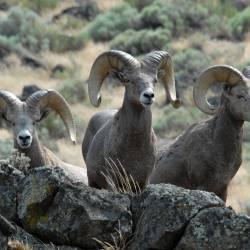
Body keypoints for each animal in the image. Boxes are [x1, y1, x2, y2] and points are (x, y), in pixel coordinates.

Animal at [82, 49, 180, 189]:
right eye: (127, 80)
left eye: (155, 80)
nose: (149, 95)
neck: (134, 148)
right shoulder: (112, 180)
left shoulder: (143, 181)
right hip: (93, 182)